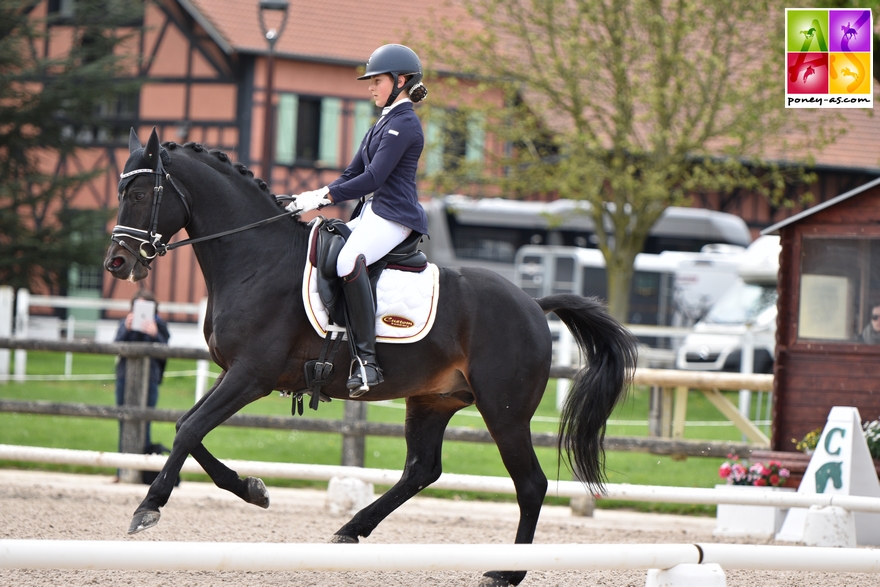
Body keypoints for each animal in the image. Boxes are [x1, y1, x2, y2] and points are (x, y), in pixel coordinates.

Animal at [106, 130, 636, 587]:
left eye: (141, 194)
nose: (117, 263)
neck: (256, 259)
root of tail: (533, 304)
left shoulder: (252, 375)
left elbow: (191, 429)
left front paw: (148, 507)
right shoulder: (232, 373)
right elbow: (186, 427)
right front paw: (253, 489)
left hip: (504, 411)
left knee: (530, 484)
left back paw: (506, 572)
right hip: (433, 400)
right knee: (422, 470)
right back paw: (351, 529)